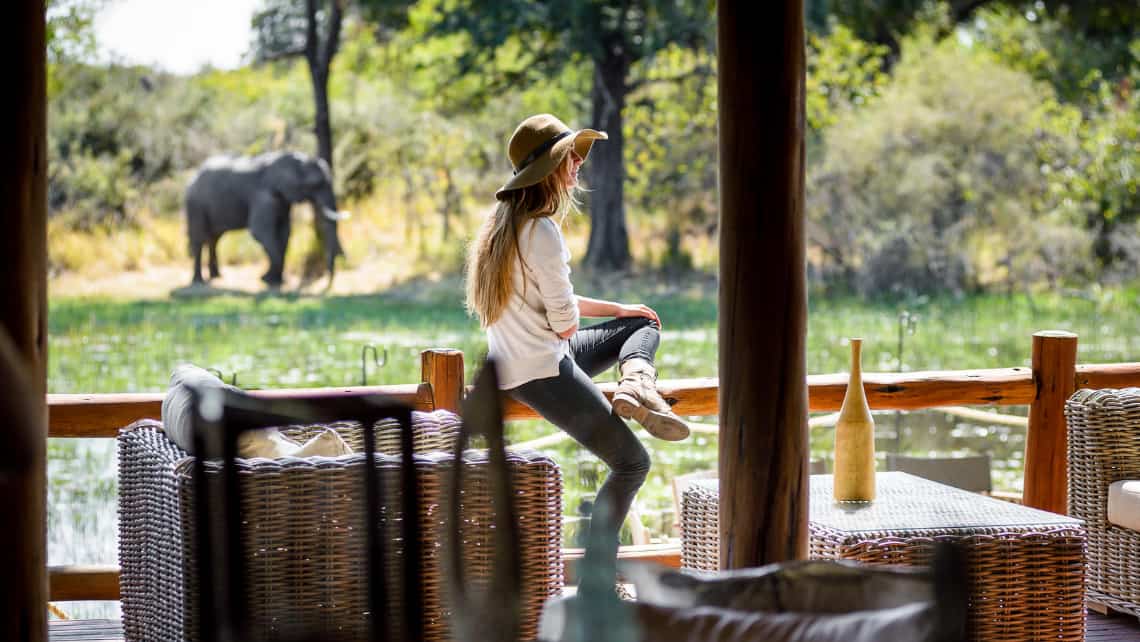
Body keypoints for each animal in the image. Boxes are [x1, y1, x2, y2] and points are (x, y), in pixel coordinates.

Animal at [184, 150, 346, 286]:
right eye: (316, 184)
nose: (327, 280)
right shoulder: (263, 196)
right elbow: (261, 232)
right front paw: (268, 280)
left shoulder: (282, 200)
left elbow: (285, 232)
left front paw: (275, 280)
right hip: (195, 204)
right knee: (199, 239)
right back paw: (198, 281)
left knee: (214, 239)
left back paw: (216, 276)